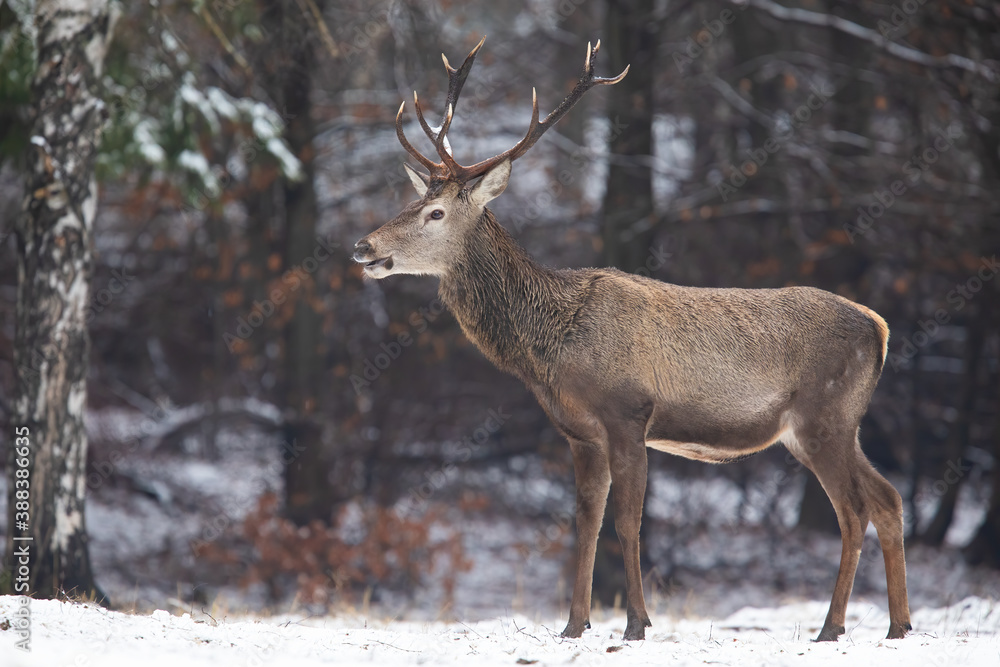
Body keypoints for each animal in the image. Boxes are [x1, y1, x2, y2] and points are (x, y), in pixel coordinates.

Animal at [352, 37, 911, 643]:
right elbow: (586, 521)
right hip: (837, 424)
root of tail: (880, 328)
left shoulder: (629, 412)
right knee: (888, 497)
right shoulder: (579, 433)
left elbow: (627, 520)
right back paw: (898, 625)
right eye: (407, 203)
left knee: (854, 509)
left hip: (822, 415)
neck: (552, 348)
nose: (363, 246)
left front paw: (636, 624)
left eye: (435, 213)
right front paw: (574, 625)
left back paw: (832, 628)